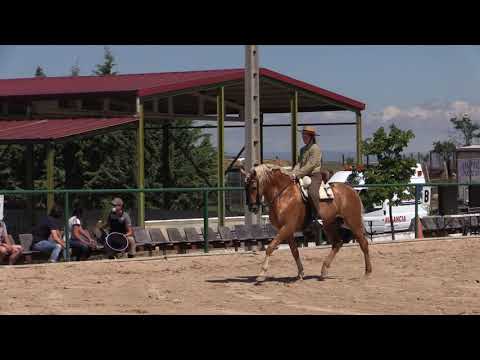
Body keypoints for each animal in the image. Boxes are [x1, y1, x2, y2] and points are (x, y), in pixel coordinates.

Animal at [244, 164, 372, 282]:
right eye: (245, 187)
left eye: (254, 187)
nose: (252, 207)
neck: (283, 194)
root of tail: (352, 191)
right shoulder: (287, 230)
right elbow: (294, 252)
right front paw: (300, 273)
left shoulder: (287, 227)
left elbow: (270, 247)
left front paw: (261, 274)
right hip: (329, 225)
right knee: (337, 243)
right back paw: (323, 271)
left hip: (353, 222)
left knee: (363, 243)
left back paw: (367, 272)